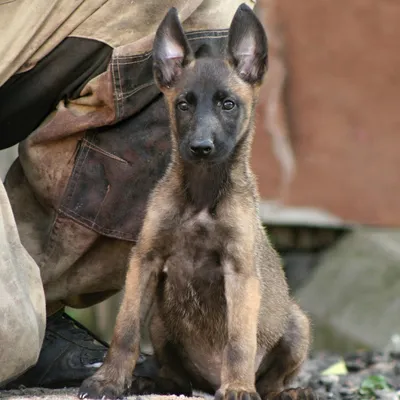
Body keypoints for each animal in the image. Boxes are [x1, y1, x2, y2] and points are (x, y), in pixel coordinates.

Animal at [79, 3, 316, 400]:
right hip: (161, 322)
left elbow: (239, 342)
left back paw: (287, 391)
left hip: (297, 323)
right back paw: (154, 381)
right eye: (184, 105)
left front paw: (238, 387)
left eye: (228, 105)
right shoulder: (145, 260)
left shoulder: (240, 271)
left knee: (271, 381)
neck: (203, 195)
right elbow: (125, 329)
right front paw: (108, 380)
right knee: (178, 377)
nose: (201, 147)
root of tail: (207, 382)